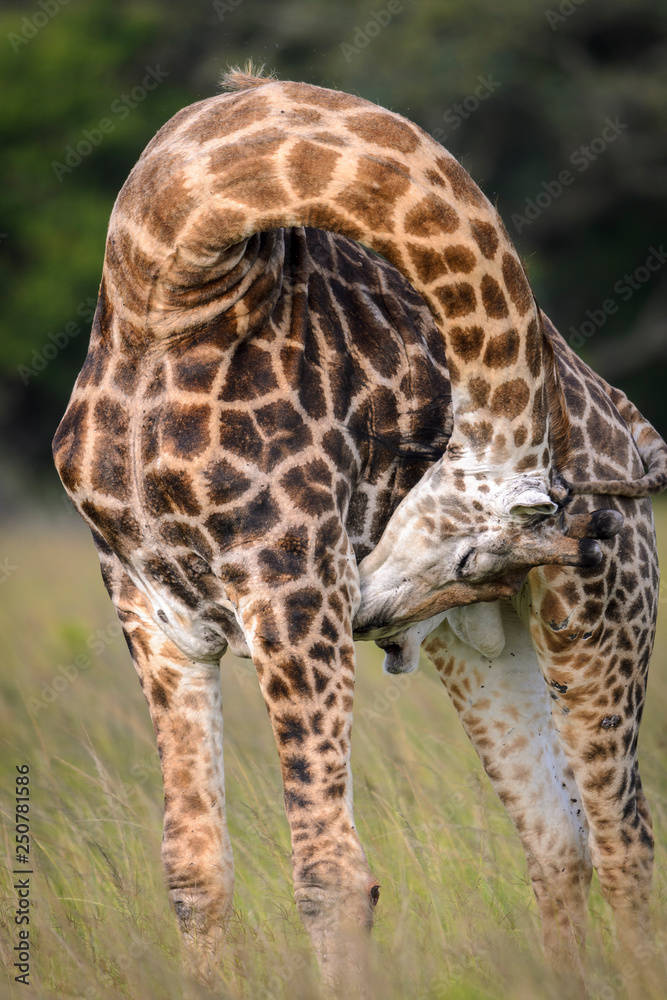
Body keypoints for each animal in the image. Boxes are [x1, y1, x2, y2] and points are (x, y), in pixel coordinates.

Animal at [52, 70, 667, 984]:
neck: (162, 292)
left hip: (598, 626)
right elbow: (193, 874)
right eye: (524, 516)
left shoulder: (291, 584)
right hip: (481, 652)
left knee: (624, 838)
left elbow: (329, 876)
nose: (589, 527)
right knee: (559, 843)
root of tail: (628, 424)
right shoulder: (153, 612)